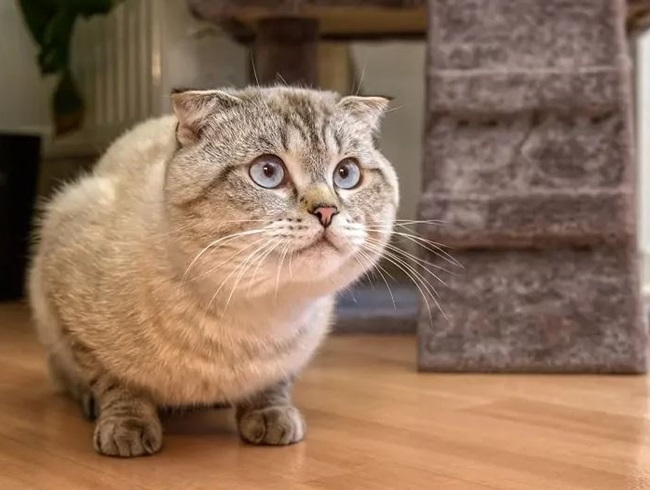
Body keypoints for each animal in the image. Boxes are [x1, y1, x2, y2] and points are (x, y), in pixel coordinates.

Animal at [29, 84, 394, 456]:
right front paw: (127, 430)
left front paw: (270, 417)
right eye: (268, 172)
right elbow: (115, 382)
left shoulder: (295, 352)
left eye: (346, 174)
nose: (326, 211)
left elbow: (273, 385)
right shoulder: (66, 291)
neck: (253, 313)